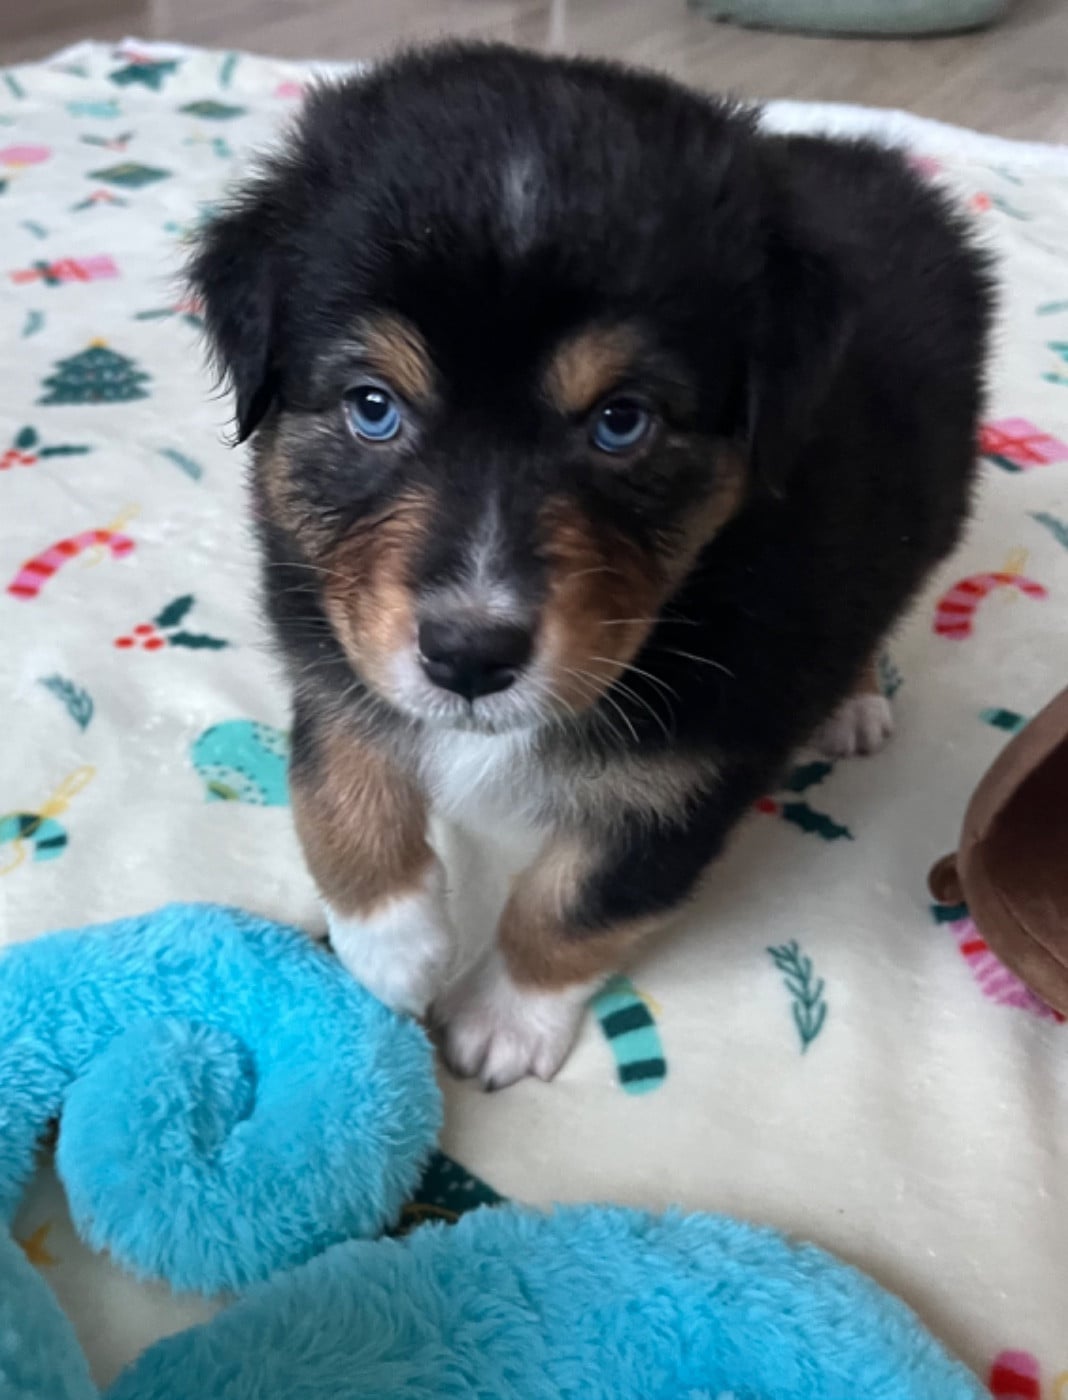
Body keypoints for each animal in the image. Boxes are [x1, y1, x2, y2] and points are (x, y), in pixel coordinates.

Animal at [190, 43, 992, 1089]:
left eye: (621, 421)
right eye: (372, 406)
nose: (470, 658)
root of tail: (882, 164)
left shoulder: (692, 770)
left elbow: (577, 901)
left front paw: (501, 1022)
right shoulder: (332, 633)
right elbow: (336, 782)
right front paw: (390, 946)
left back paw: (853, 704)